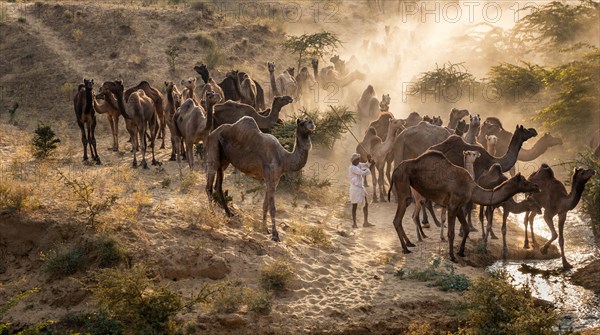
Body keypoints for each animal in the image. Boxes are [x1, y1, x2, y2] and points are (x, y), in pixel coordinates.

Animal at [386, 151, 540, 262]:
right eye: (524, 181)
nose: (536, 186)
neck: (472, 188)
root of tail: (396, 169)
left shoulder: (459, 206)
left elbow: (466, 228)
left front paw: (461, 252)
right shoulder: (453, 205)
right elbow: (451, 233)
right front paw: (452, 256)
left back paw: (410, 243)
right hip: (403, 185)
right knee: (397, 218)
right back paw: (406, 248)